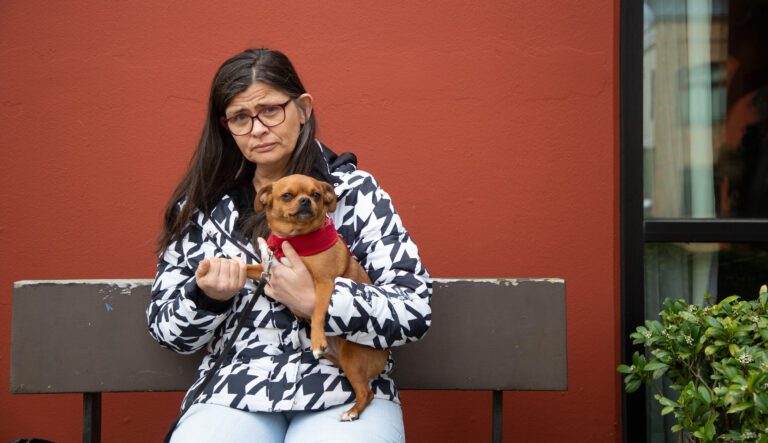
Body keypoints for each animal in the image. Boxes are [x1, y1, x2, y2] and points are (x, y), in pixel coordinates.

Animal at [248, 174, 390, 424]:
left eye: (316, 194)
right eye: (287, 196)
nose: (305, 200)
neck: (296, 240)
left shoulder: (323, 285)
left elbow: (317, 314)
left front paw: (316, 340)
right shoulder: (267, 268)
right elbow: (245, 267)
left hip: (352, 358)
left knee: (367, 392)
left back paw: (352, 412)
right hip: (341, 360)